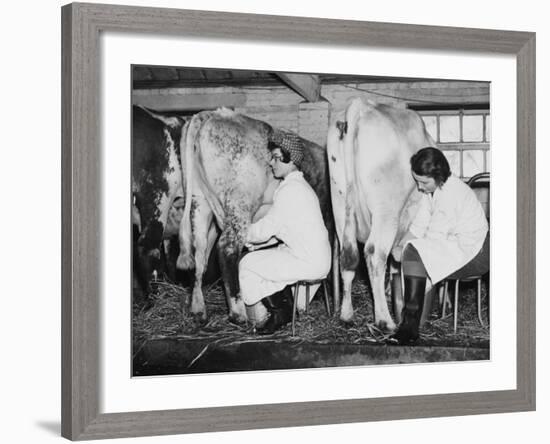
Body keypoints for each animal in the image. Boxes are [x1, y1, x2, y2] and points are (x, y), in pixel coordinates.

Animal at [178, 107, 332, 322]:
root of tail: (214, 114)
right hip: (239, 203)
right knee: (226, 248)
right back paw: (238, 313)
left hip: (199, 202)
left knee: (200, 251)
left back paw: (198, 309)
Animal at [328, 98, 436, 332]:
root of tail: (361, 106)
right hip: (386, 211)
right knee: (374, 253)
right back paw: (385, 320)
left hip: (339, 202)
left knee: (348, 256)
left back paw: (346, 315)